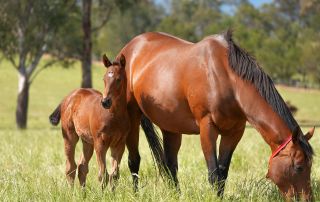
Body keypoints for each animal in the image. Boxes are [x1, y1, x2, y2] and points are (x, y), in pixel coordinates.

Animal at [115, 30, 316, 200]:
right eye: (299, 167)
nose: (307, 199)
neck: (225, 79)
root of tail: (130, 48)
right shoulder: (207, 128)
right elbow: (213, 173)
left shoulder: (234, 132)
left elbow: (223, 173)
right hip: (132, 116)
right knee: (134, 160)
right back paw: (135, 194)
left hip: (170, 126)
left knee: (171, 166)